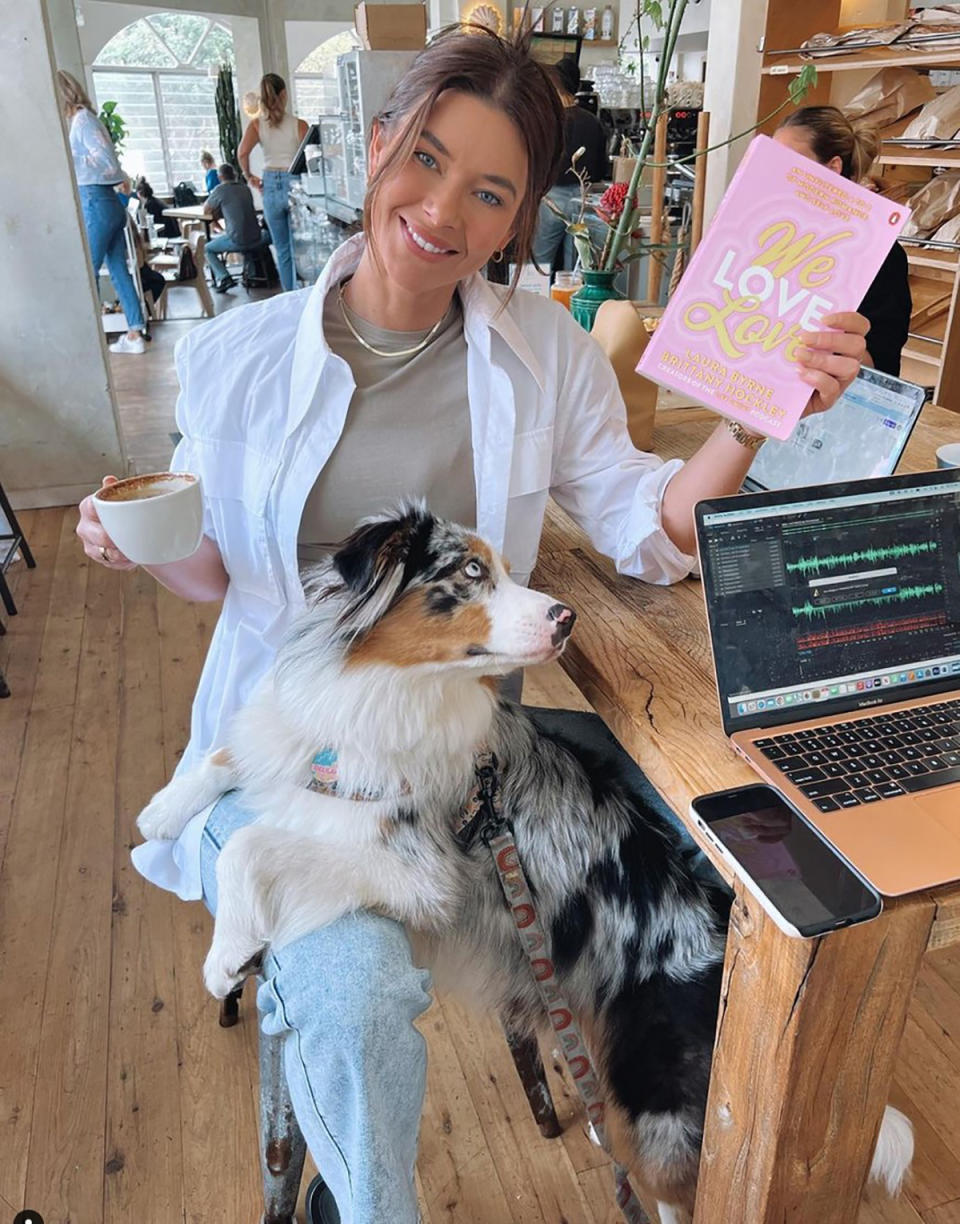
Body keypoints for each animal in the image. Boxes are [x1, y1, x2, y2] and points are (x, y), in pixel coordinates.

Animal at [137, 501, 915, 1219]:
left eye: (506, 569)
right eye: (470, 572)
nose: (566, 618)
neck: (389, 686)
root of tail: (723, 938)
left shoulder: (417, 871)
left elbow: (249, 845)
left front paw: (226, 957)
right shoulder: (304, 740)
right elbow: (232, 749)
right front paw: (163, 814)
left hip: (657, 1102)